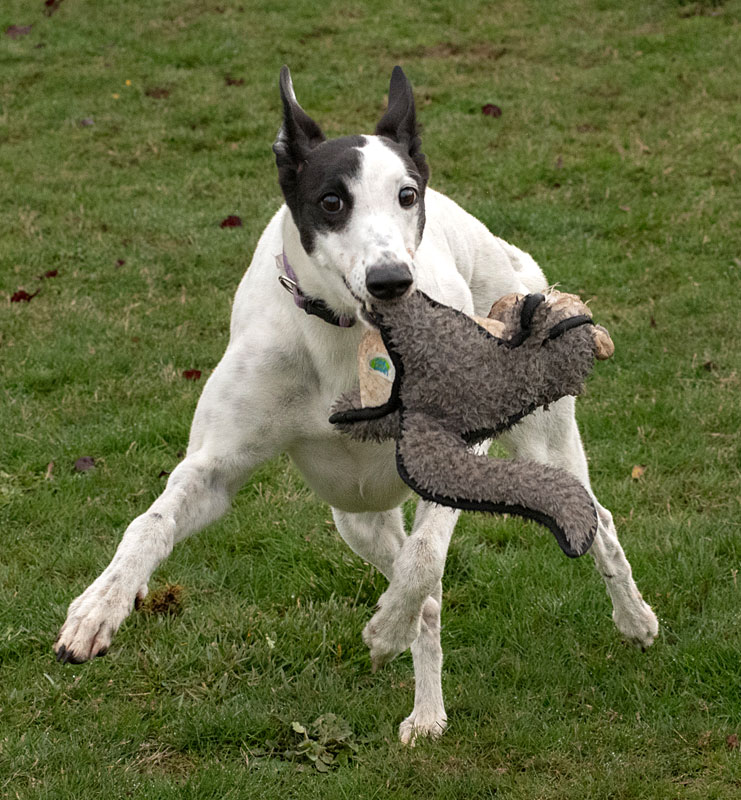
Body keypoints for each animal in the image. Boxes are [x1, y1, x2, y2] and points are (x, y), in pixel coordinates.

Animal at [55, 67, 656, 744]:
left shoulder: (455, 453)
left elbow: (424, 559)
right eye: (331, 202)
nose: (391, 281)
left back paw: (632, 621)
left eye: (406, 195)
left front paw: (387, 627)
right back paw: (427, 704)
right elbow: (150, 521)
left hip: (542, 438)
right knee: (425, 595)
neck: (349, 340)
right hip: (357, 516)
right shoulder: (212, 470)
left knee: (587, 522)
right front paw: (100, 606)